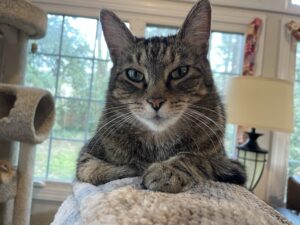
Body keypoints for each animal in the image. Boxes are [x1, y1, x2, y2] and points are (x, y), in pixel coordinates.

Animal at [75, 0, 246, 193]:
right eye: (134, 74)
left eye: (180, 71)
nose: (155, 101)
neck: (159, 142)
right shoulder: (86, 154)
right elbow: (92, 169)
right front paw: (131, 168)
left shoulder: (230, 164)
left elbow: (195, 157)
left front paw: (167, 170)